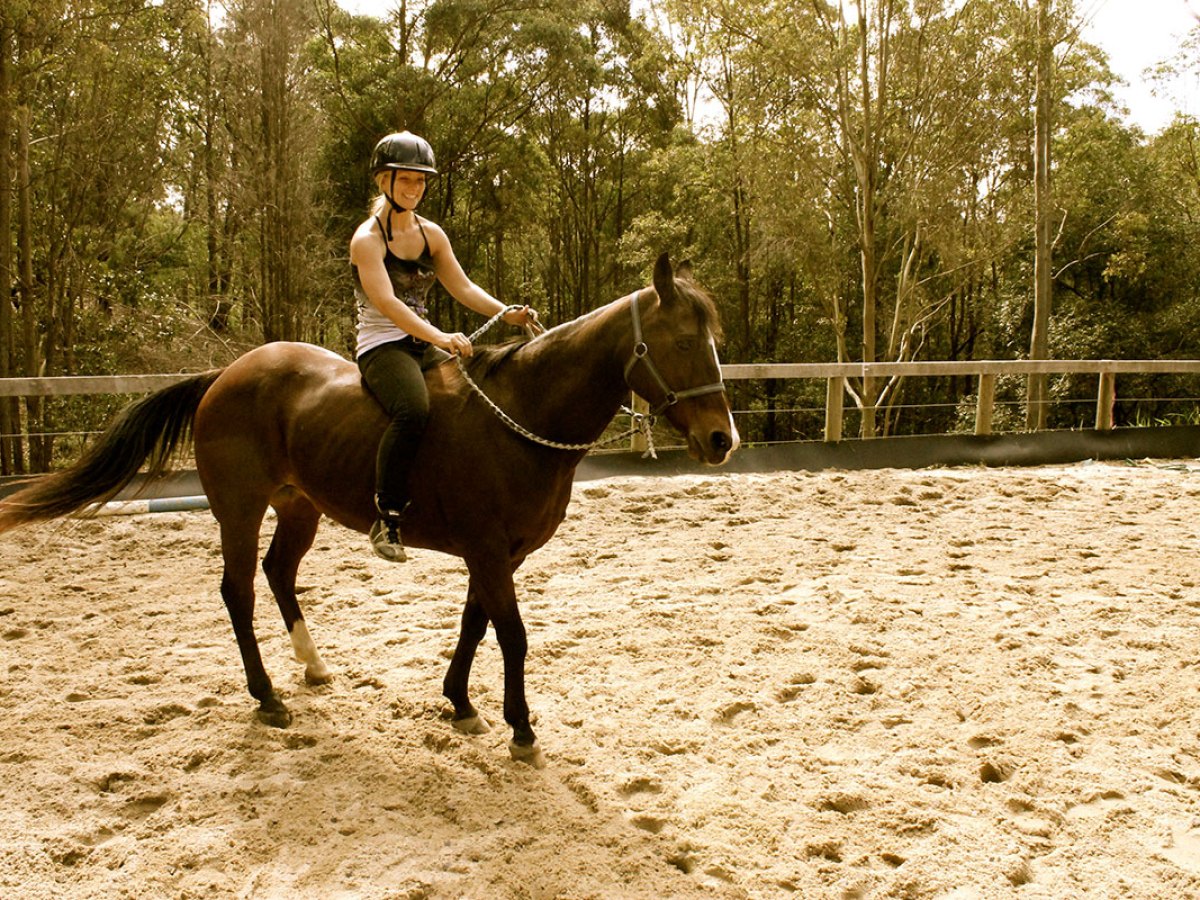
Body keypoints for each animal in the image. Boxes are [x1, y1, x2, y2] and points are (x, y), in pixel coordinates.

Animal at [0, 253, 738, 767]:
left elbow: (473, 624)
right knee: (238, 590)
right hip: (237, 508)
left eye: (714, 343)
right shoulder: (490, 552)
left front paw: (459, 704)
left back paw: (313, 668)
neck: (520, 414)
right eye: (680, 343)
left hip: (299, 506)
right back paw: (267, 696)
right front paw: (521, 729)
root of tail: (226, 375)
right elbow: (512, 636)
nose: (722, 440)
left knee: (278, 573)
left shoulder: (496, 554)